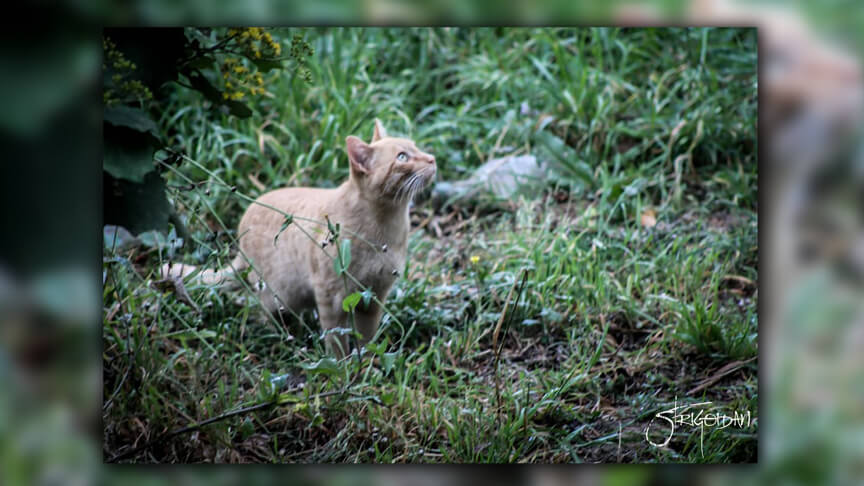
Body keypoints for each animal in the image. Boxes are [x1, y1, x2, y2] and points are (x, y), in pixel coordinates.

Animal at [161, 119, 436, 356]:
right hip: (279, 296)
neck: (384, 227)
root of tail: (240, 244)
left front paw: (368, 362)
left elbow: (366, 337)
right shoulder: (331, 295)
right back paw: (285, 338)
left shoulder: (374, 296)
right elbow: (335, 338)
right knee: (264, 314)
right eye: (403, 157)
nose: (432, 159)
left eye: (416, 148)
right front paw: (343, 366)